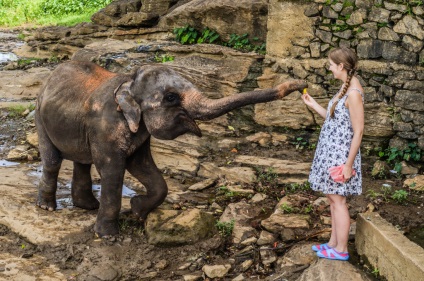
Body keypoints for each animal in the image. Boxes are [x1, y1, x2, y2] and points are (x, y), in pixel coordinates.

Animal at [35, 60, 308, 235]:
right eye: (171, 97)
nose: (301, 85)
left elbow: (142, 166)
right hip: (40, 116)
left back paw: (87, 206)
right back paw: (47, 207)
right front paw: (109, 236)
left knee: (82, 160)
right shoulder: (106, 126)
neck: (129, 79)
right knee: (52, 160)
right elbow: (113, 170)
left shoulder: (139, 131)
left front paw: (137, 210)